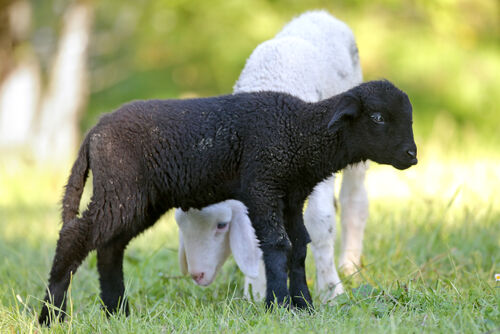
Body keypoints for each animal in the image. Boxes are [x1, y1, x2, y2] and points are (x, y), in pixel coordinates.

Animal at [39, 79, 416, 324]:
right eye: (378, 117)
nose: (412, 155)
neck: (300, 134)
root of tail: (94, 133)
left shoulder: (292, 196)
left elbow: (299, 247)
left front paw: (303, 306)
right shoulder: (263, 185)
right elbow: (277, 245)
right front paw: (278, 306)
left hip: (139, 199)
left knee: (110, 249)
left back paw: (117, 312)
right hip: (121, 189)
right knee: (75, 236)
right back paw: (51, 315)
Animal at [175, 10, 368, 302]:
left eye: (222, 225)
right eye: (180, 224)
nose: (197, 275)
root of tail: (320, 14)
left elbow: (320, 224)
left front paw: (331, 291)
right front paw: (256, 292)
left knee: (353, 201)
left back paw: (349, 265)